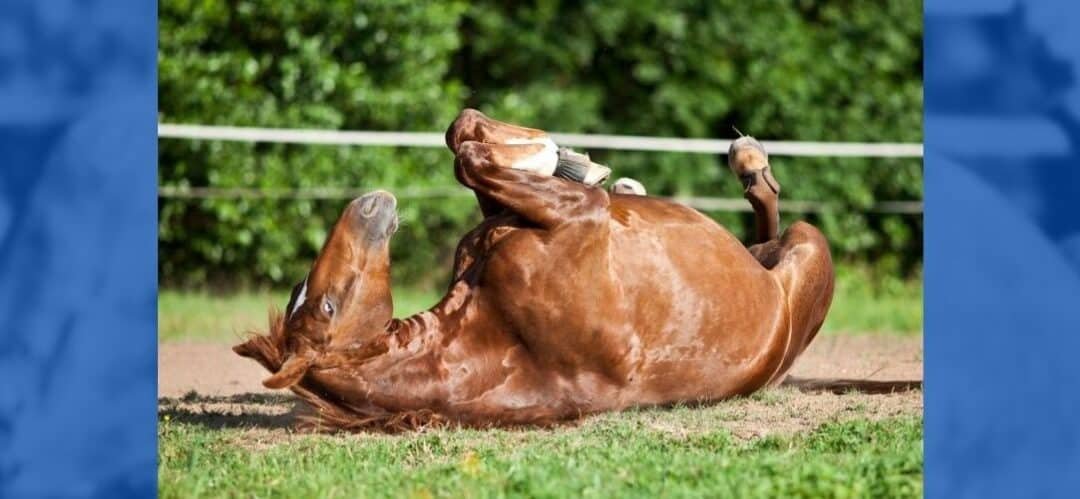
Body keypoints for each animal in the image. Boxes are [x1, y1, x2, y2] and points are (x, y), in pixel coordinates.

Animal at [234, 109, 835, 431]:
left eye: (308, 294)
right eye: (326, 304)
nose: (368, 205)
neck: (493, 335)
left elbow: (463, 139)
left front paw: (567, 159)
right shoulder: (579, 216)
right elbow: (470, 158)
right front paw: (563, 159)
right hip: (808, 246)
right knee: (774, 224)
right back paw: (749, 162)